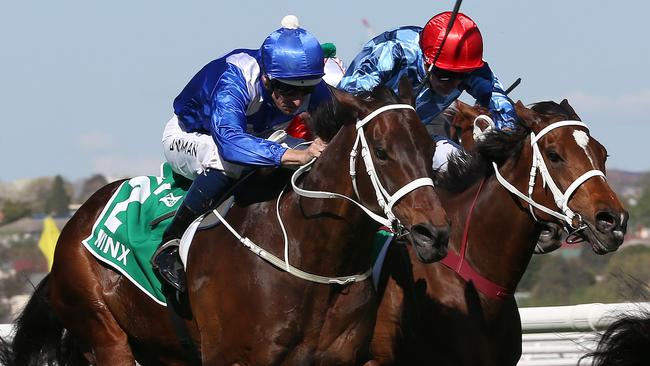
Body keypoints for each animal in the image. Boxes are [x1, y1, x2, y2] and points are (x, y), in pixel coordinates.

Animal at [1, 78, 450, 364]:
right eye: (382, 150)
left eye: (430, 148)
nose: (434, 234)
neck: (310, 253)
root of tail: (76, 222)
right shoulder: (228, 356)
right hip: (105, 336)